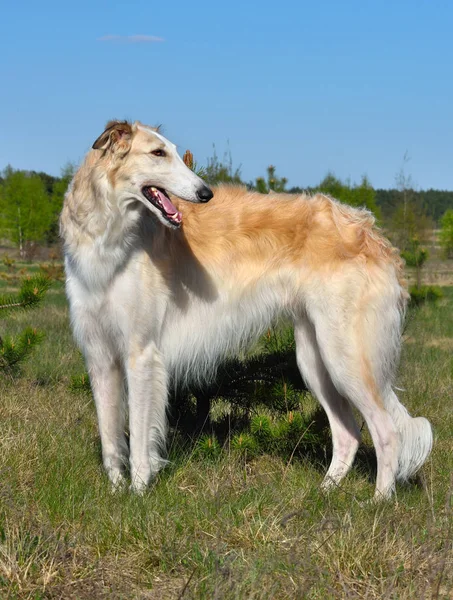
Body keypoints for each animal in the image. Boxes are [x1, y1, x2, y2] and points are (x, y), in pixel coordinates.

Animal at [60, 119, 430, 500]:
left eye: (174, 152)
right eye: (158, 152)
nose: (205, 193)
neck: (109, 239)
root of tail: (373, 234)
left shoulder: (141, 353)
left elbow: (137, 440)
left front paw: (138, 494)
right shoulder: (99, 356)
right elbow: (110, 438)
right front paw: (116, 492)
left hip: (346, 358)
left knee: (387, 431)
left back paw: (379, 500)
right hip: (314, 358)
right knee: (349, 434)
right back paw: (323, 493)